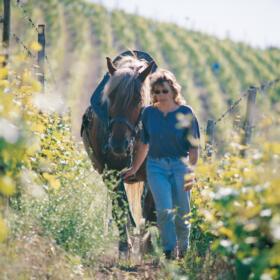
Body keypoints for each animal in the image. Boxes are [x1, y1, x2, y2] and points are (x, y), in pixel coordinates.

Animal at [81, 53, 155, 258]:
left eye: (138, 99)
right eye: (109, 96)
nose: (117, 144)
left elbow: (150, 207)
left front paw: (148, 246)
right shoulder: (111, 174)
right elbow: (120, 207)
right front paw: (124, 246)